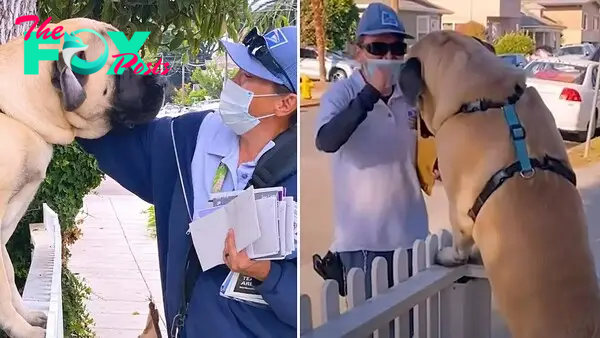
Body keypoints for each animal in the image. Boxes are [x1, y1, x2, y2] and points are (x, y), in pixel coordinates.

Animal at [0, 19, 165, 338]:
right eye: (124, 68)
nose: (163, 82)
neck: (20, 114)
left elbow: (8, 273)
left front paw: (26, 316)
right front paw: (21, 329)